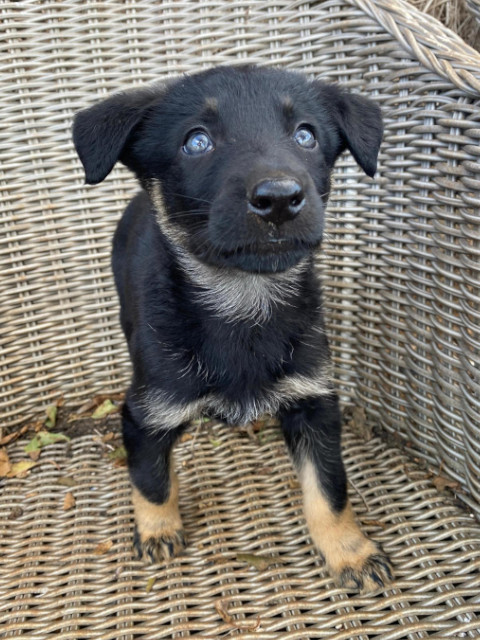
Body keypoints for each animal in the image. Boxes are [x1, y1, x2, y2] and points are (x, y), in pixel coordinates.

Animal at [73, 65, 393, 593]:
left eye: (306, 135)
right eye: (196, 141)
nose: (280, 199)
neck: (244, 299)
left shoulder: (313, 403)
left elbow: (329, 488)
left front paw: (350, 551)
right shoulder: (146, 411)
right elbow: (150, 478)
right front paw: (158, 529)